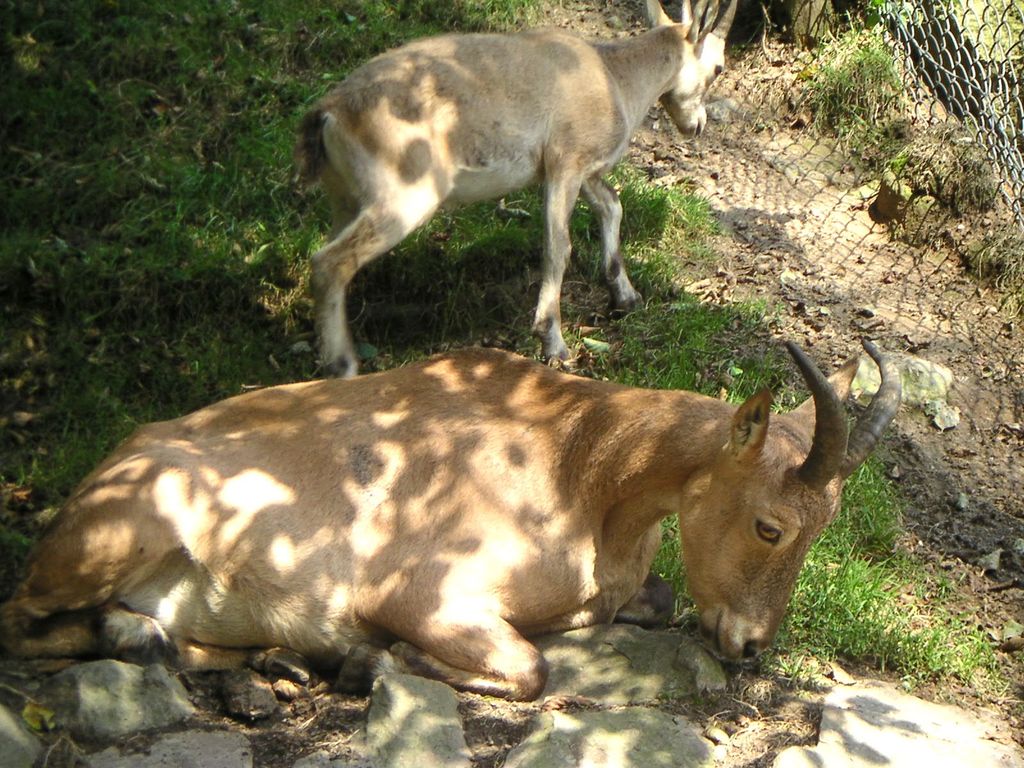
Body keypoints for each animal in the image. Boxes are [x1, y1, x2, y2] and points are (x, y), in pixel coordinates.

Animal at [0, 342, 901, 704]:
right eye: (771, 526)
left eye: (825, 527)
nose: (751, 646)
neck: (578, 464)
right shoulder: (424, 596)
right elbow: (531, 668)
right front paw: (372, 659)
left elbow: (658, 599)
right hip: (129, 529)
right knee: (22, 620)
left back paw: (269, 661)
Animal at [296, 0, 737, 376]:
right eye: (718, 68)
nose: (697, 126)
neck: (614, 77)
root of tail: (328, 113)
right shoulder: (565, 163)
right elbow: (558, 247)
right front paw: (554, 343)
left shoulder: (582, 172)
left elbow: (612, 205)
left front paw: (625, 297)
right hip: (405, 196)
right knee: (329, 263)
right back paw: (342, 365)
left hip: (346, 200)